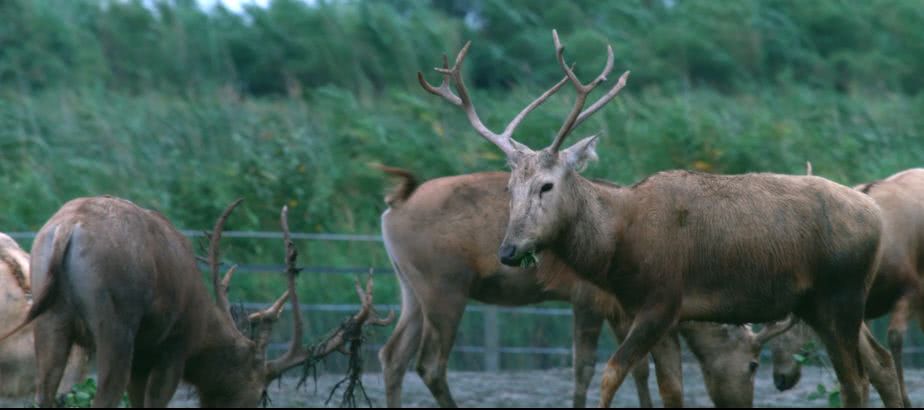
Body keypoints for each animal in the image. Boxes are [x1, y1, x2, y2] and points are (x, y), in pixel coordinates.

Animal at [416, 29, 904, 406]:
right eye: (508, 188)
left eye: (547, 185)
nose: (509, 250)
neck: (617, 246)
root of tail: (877, 216)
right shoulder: (656, 313)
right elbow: (671, 391)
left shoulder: (662, 300)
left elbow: (611, 374)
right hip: (822, 303)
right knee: (879, 364)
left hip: (841, 294)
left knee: (855, 380)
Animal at [764, 167, 924, 406]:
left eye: (791, 327)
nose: (780, 379)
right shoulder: (860, 308)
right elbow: (867, 371)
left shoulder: (912, 290)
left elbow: (894, 338)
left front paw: (906, 400)